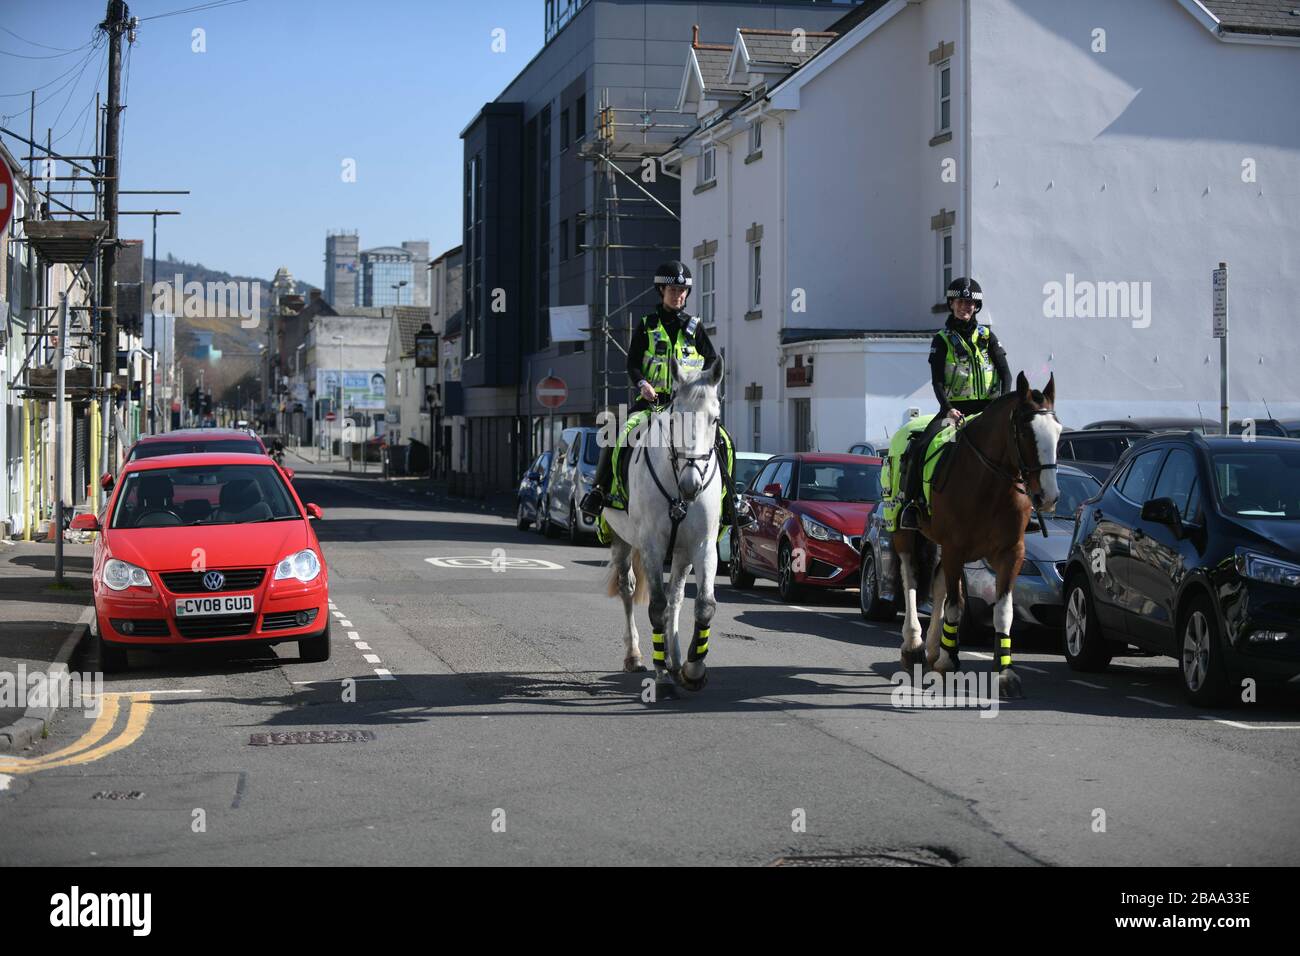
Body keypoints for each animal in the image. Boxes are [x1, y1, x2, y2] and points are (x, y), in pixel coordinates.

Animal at [598, 358, 722, 697]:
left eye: (714, 419)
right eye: (675, 417)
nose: (692, 485)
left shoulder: (703, 545)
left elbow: (703, 605)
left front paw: (693, 670)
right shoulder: (652, 546)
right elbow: (655, 606)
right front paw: (662, 675)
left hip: (680, 553)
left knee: (676, 597)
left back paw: (675, 658)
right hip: (623, 540)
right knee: (629, 589)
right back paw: (636, 656)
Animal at [899, 371, 1060, 697]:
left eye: (1059, 431)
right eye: (1027, 433)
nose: (1048, 496)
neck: (989, 484)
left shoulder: (1011, 554)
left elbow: (1003, 611)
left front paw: (1005, 673)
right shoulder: (955, 550)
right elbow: (955, 605)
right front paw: (949, 661)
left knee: (936, 585)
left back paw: (932, 647)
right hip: (905, 531)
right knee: (910, 576)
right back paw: (914, 643)